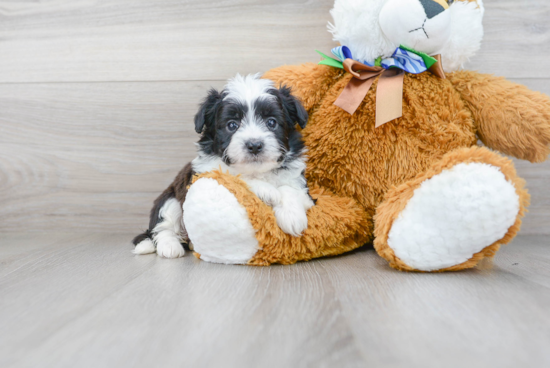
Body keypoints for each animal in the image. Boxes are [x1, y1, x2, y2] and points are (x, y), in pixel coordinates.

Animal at [133, 74, 314, 258]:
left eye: (271, 122)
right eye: (232, 125)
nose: (254, 145)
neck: (257, 171)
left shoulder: (302, 186)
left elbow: (290, 188)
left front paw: (292, 216)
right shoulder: (206, 172)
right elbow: (234, 176)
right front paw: (267, 190)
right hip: (169, 199)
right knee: (162, 226)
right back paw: (169, 246)